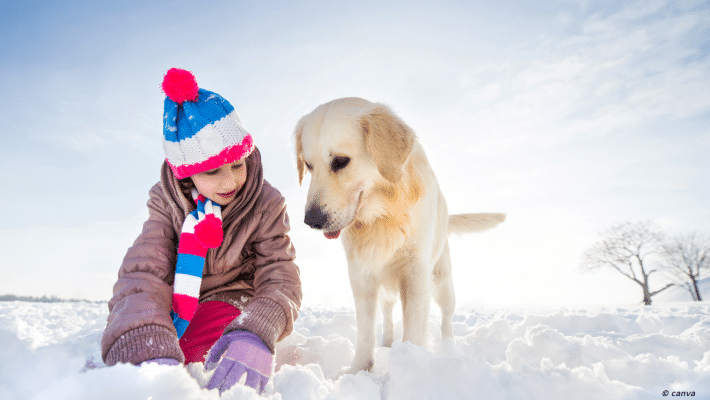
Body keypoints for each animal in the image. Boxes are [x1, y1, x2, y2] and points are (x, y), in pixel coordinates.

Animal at [294, 97, 506, 372]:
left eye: (340, 161)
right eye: (308, 166)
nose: (312, 221)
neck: (383, 214)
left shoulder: (415, 272)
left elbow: (414, 328)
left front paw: (410, 366)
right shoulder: (361, 273)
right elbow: (365, 330)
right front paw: (358, 370)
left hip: (443, 283)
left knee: (446, 320)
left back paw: (451, 350)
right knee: (387, 315)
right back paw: (387, 344)